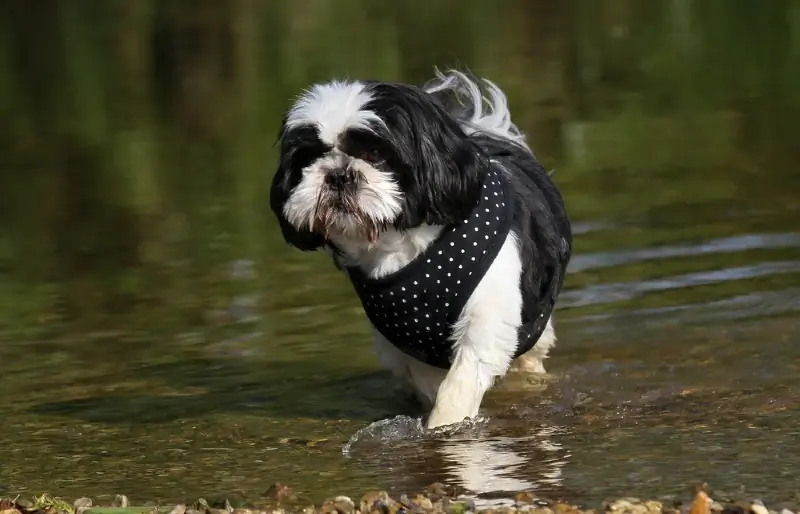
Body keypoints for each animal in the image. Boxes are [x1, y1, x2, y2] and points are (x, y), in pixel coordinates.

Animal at [272, 69, 572, 428]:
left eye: (374, 155)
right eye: (309, 158)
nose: (338, 174)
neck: (404, 246)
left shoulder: (487, 320)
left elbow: (460, 381)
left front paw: (445, 425)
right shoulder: (404, 346)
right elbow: (429, 383)